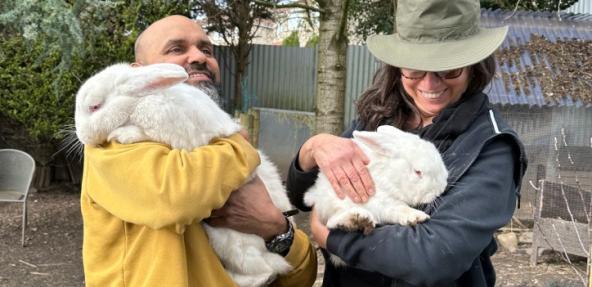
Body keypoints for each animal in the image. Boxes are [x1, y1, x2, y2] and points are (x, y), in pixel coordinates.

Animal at [74, 63, 294, 287]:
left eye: (94, 107)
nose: (82, 136)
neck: (139, 101)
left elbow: (141, 133)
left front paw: (121, 134)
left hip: (229, 239)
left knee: (265, 271)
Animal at [306, 125, 448, 266]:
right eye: (418, 172)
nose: (442, 187)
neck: (390, 173)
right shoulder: (379, 199)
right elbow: (399, 208)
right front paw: (416, 216)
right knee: (331, 222)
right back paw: (358, 220)